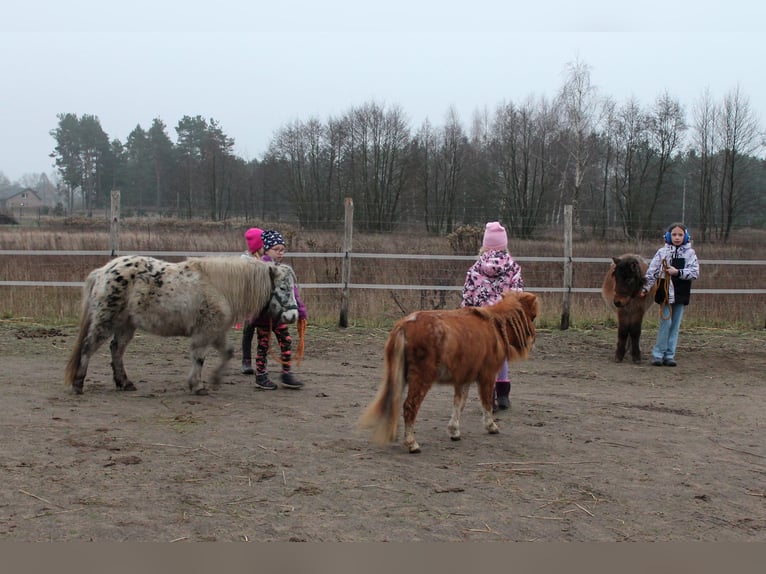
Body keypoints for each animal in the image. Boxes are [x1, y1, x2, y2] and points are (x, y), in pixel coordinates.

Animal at [64, 256, 298, 396]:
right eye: (283, 288)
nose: (293, 315)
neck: (220, 287)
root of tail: (104, 270)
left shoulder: (216, 332)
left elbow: (228, 353)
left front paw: (215, 379)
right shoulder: (205, 333)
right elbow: (199, 358)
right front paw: (197, 385)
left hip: (126, 325)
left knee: (117, 350)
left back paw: (124, 382)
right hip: (106, 321)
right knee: (88, 347)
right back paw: (78, 384)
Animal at [360, 292, 540, 454]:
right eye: (533, 317)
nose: (533, 339)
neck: (494, 325)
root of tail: (404, 326)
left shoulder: (464, 378)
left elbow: (459, 403)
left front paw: (454, 431)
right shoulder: (487, 376)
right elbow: (487, 402)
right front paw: (491, 426)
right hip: (421, 378)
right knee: (410, 406)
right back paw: (412, 444)